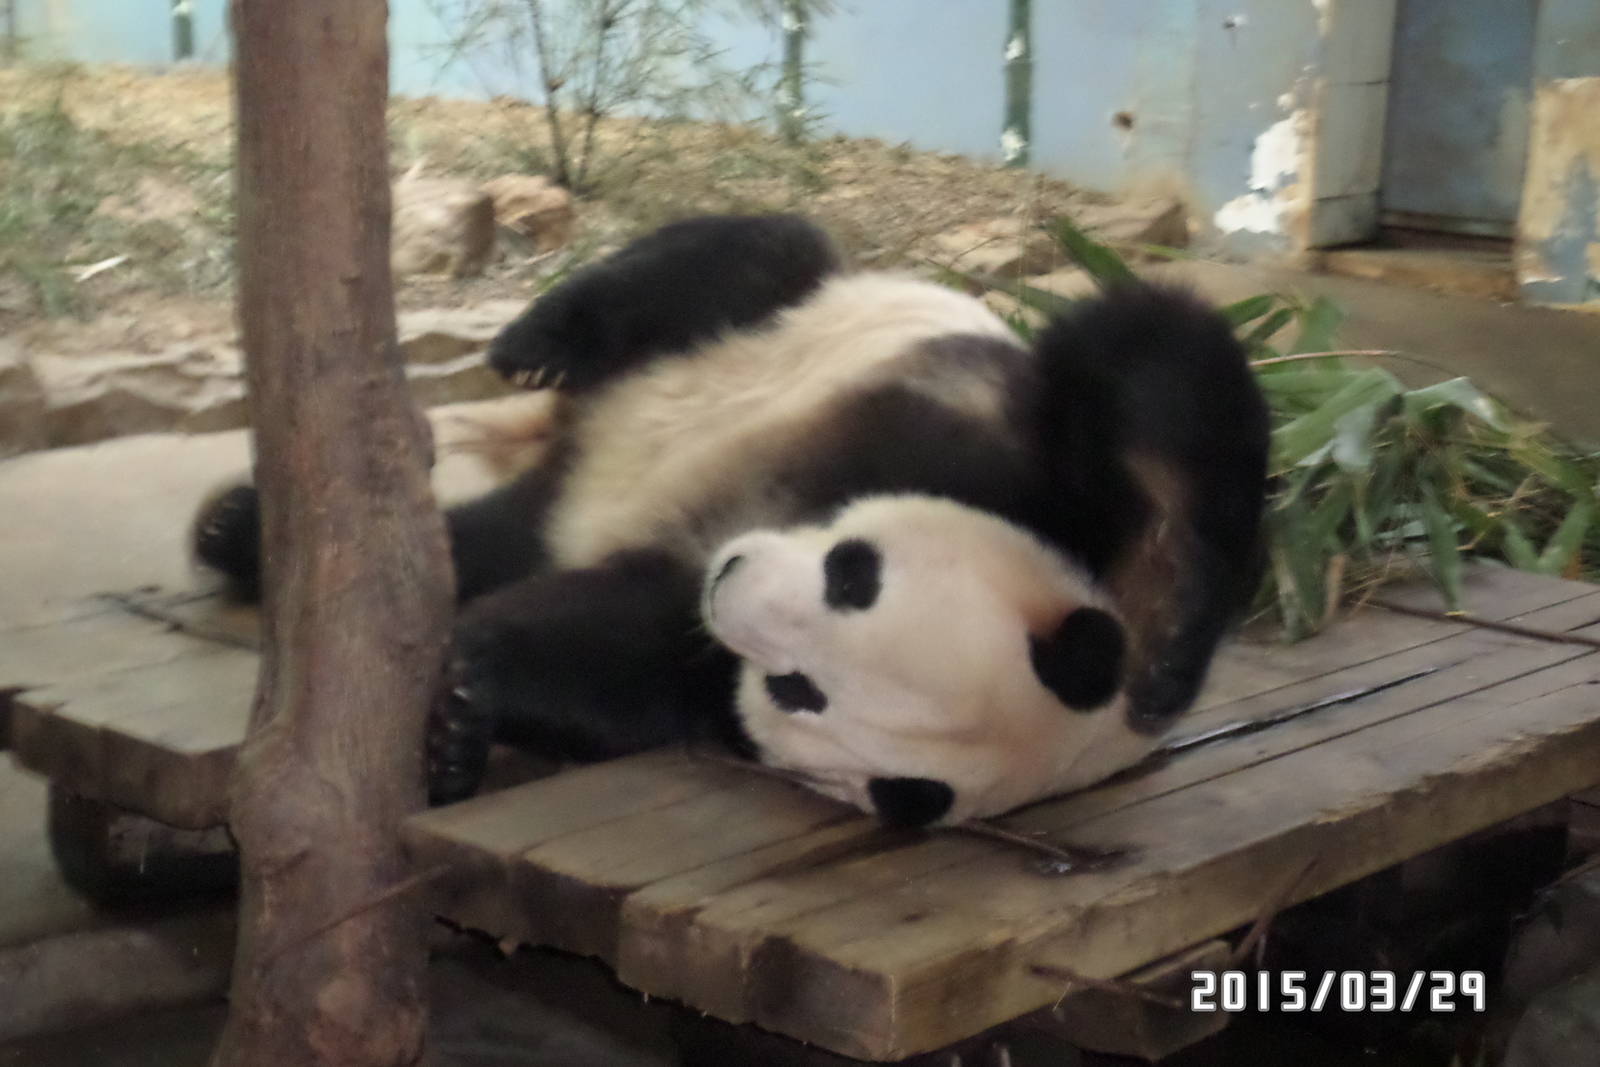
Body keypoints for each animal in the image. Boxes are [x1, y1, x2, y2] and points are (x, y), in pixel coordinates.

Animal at [193, 213, 1270, 828]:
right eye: (854, 573)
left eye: (802, 689)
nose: (733, 578)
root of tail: (585, 447)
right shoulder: (1017, 458)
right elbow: (1148, 363)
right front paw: (1176, 631)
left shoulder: (696, 659)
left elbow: (618, 651)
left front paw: (464, 705)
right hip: (772, 319)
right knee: (747, 258)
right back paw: (534, 343)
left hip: (554, 505)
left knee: (482, 541)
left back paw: (244, 536)